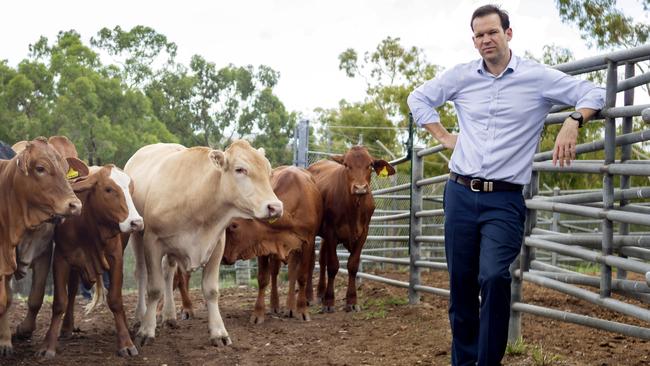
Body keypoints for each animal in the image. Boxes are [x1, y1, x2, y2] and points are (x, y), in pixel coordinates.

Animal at [0, 137, 85, 354]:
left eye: (67, 170)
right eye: (41, 168)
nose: (75, 205)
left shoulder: (44, 254)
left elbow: (36, 298)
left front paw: (24, 330)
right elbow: (6, 300)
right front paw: (4, 342)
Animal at [36, 165, 143, 358]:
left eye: (131, 190)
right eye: (108, 189)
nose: (136, 222)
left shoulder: (116, 258)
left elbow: (115, 299)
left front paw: (125, 342)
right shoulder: (61, 259)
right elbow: (60, 302)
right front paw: (48, 345)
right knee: (72, 291)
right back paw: (67, 327)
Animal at [124, 139, 280, 346]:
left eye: (268, 171)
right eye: (240, 169)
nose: (275, 207)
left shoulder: (217, 245)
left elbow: (211, 290)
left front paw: (218, 332)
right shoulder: (152, 241)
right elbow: (154, 289)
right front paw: (146, 331)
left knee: (168, 272)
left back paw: (169, 315)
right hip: (137, 236)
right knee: (141, 274)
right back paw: (139, 317)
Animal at [306, 146, 392, 312]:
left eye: (370, 165)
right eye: (346, 165)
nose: (360, 188)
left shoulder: (363, 233)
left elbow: (353, 265)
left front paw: (352, 301)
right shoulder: (331, 232)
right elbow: (333, 266)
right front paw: (329, 302)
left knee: (321, 260)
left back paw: (320, 293)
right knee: (311, 261)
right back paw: (309, 297)